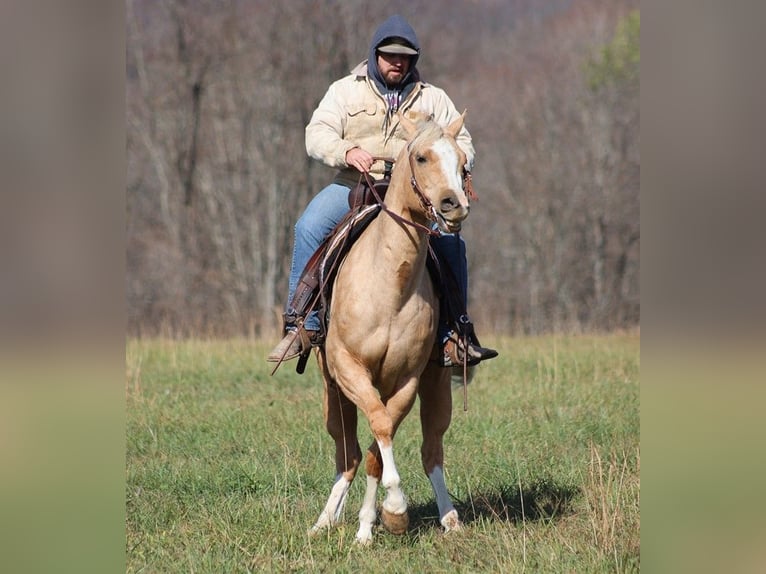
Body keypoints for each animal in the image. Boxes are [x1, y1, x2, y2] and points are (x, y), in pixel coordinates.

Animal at [308, 111, 472, 544]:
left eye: (462, 160)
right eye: (421, 157)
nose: (454, 205)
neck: (388, 286)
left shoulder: (407, 379)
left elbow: (380, 443)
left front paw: (386, 516)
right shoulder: (349, 369)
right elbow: (376, 432)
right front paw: (391, 510)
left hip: (436, 386)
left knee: (429, 451)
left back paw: (447, 518)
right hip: (334, 391)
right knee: (347, 454)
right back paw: (326, 520)